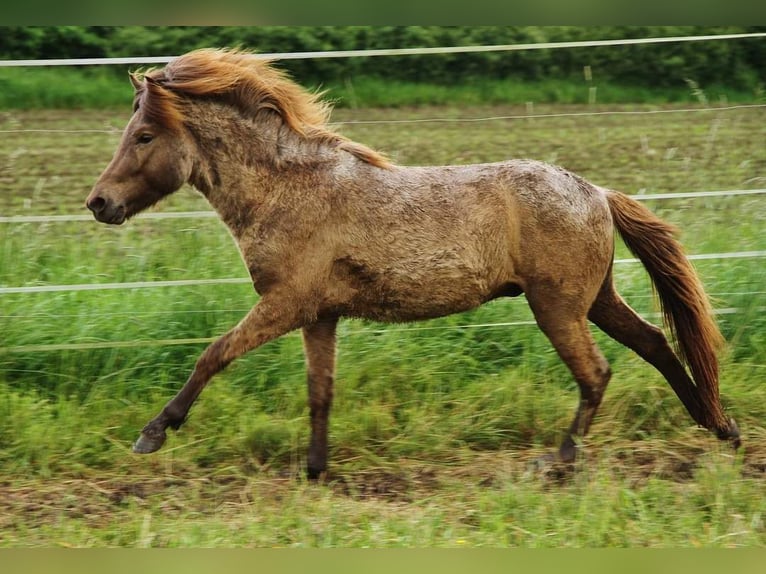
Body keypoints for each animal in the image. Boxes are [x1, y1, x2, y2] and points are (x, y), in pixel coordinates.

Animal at [87, 48, 740, 482]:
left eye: (144, 135)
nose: (99, 203)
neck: (288, 191)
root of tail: (597, 193)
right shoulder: (319, 315)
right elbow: (319, 392)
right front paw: (315, 471)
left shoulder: (285, 303)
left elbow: (213, 353)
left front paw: (152, 433)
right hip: (594, 299)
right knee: (656, 343)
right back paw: (719, 428)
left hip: (557, 306)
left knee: (598, 373)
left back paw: (558, 461)